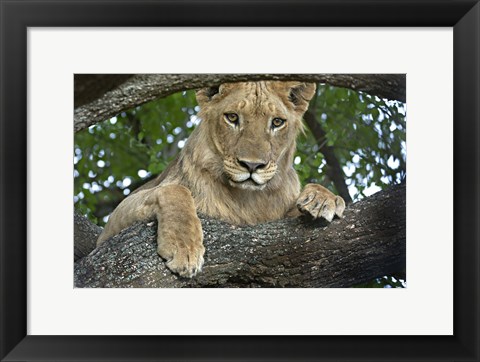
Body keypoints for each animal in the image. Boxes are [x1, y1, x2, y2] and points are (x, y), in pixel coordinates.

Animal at [97, 81, 344, 278]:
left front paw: (323, 199)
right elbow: (175, 190)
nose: (252, 166)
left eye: (277, 122)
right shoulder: (107, 232)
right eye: (232, 117)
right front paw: (184, 249)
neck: (248, 198)